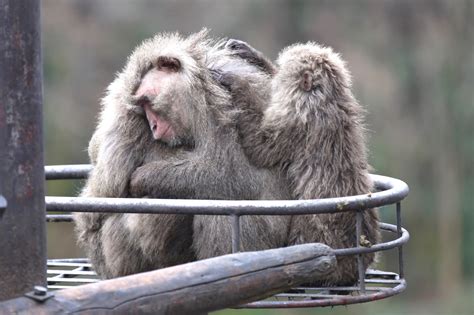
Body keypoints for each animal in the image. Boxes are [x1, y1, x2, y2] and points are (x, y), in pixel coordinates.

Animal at [74, 30, 290, 278]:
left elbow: (230, 175)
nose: (153, 126)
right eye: (142, 106)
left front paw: (144, 177)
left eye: (147, 102)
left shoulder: (213, 109)